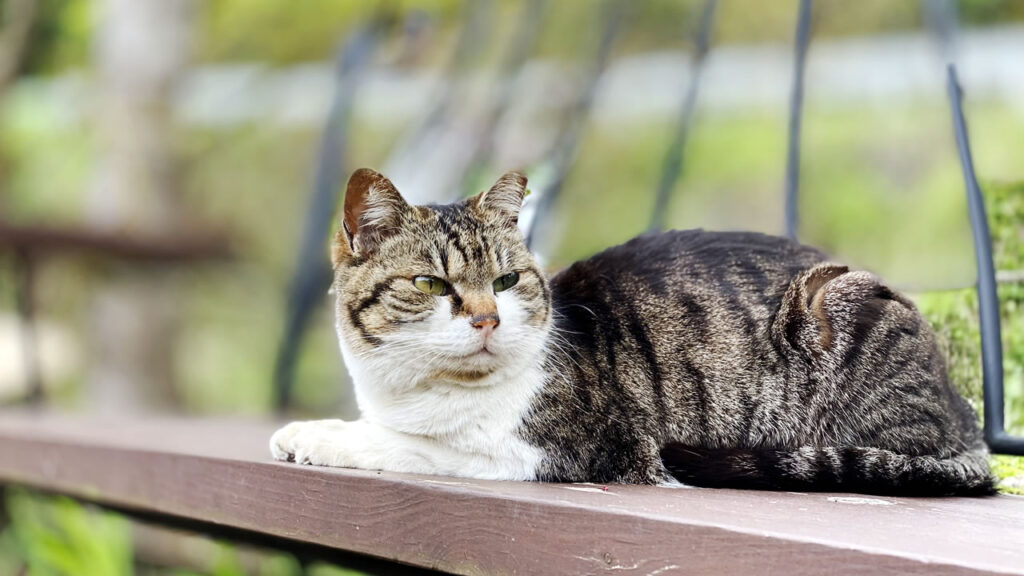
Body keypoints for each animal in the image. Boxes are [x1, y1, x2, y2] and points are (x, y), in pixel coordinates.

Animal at [270, 166, 991, 494]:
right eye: (430, 285)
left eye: (505, 282)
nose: (487, 318)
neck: (414, 391)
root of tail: (965, 416)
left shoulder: (561, 450)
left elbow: (405, 445)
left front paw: (314, 436)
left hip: (837, 298)